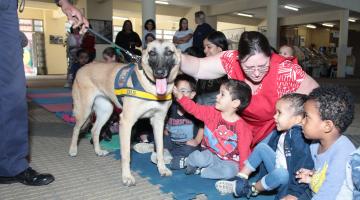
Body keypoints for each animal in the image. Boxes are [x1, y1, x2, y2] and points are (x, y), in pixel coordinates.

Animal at [69, 40, 181, 186]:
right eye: (152, 53)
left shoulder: (158, 122)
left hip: (106, 111)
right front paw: (127, 176)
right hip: (84, 109)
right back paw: (73, 149)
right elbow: (126, 154)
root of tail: (83, 67)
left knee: (94, 130)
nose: (160, 72)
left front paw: (162, 168)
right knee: (76, 129)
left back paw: (98, 150)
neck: (150, 87)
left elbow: (160, 149)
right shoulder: (126, 123)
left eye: (169, 52)